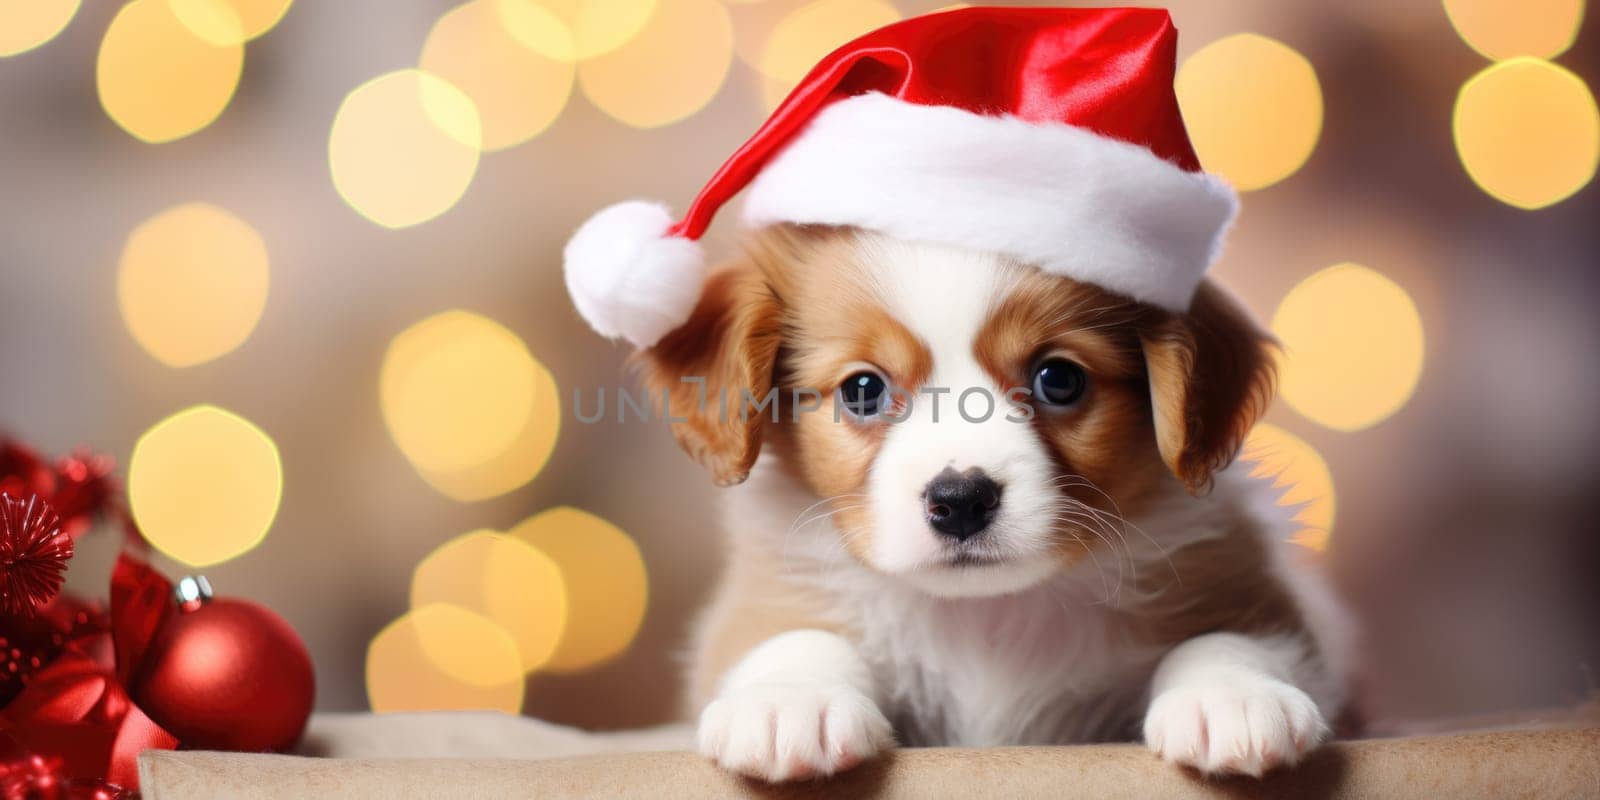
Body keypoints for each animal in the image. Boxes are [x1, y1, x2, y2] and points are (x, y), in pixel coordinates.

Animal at [633, 224, 1350, 780]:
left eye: (1059, 379)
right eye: (863, 389)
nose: (960, 500)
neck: (986, 618)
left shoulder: (1254, 591)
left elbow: (1231, 635)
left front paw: (1233, 697)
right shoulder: (766, 595)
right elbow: (791, 634)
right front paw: (789, 704)